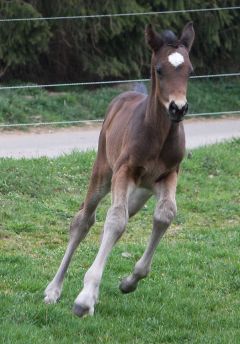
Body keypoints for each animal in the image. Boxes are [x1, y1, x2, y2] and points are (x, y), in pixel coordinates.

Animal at [44, 21, 195, 318]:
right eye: (160, 69)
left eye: (189, 70)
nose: (178, 108)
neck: (158, 135)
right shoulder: (124, 172)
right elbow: (115, 221)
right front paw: (84, 299)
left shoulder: (169, 174)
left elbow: (164, 215)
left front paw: (129, 281)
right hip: (104, 172)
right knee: (84, 220)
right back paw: (53, 290)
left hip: (141, 191)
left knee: (122, 217)